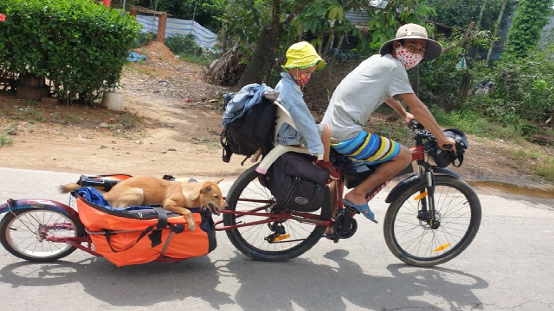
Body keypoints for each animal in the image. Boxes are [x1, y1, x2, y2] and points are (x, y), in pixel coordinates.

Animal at [62, 176, 229, 232]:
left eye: (221, 195)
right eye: (215, 196)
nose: (227, 207)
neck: (187, 191)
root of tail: (108, 193)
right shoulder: (168, 204)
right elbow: (187, 211)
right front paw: (193, 223)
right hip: (138, 192)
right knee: (119, 208)